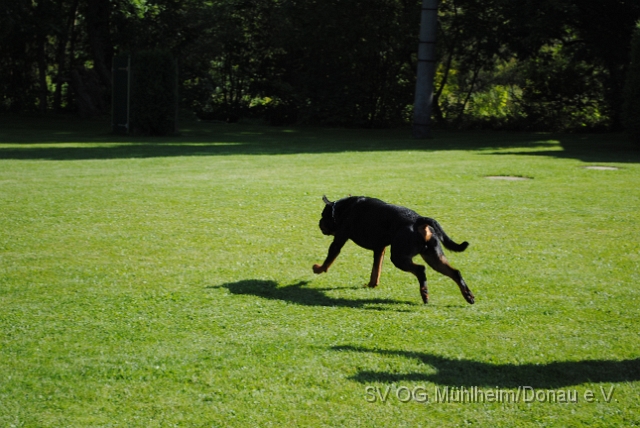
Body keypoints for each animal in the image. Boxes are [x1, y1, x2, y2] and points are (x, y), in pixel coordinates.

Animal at [312, 196, 472, 302]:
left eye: (323, 215)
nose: (319, 222)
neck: (342, 209)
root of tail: (419, 220)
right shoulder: (379, 249)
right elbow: (375, 271)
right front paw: (371, 285)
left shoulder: (339, 239)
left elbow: (329, 259)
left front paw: (318, 269)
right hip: (433, 256)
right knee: (455, 272)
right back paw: (468, 296)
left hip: (399, 257)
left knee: (421, 269)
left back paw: (425, 293)